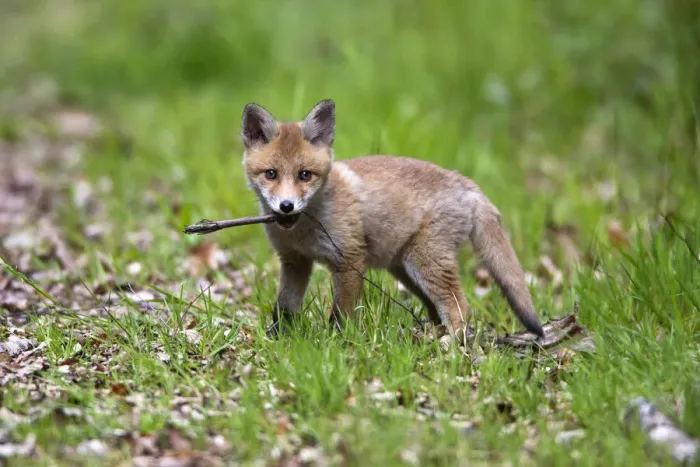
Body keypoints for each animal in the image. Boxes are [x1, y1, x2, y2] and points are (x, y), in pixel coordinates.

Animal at [240, 99, 545, 339]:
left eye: (305, 175)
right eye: (271, 174)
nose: (286, 206)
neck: (303, 230)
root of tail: (467, 183)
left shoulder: (350, 259)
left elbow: (341, 314)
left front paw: (338, 343)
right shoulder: (295, 261)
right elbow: (284, 307)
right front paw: (277, 338)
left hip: (426, 263)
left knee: (460, 306)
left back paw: (451, 345)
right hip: (406, 269)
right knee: (437, 309)